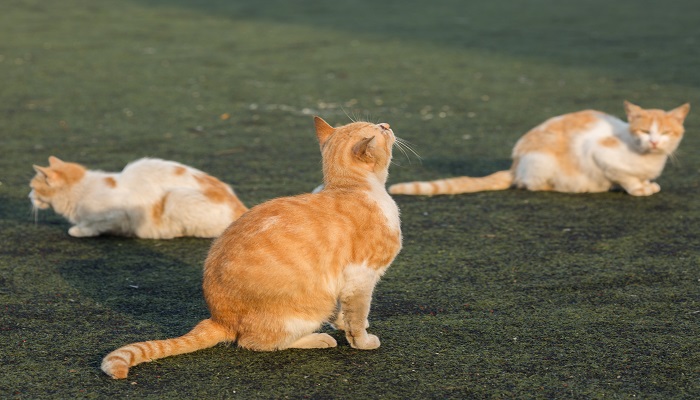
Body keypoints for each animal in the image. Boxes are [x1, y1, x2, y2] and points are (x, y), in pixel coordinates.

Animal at [30, 156, 249, 238]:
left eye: (32, 187)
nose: (28, 195)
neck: (81, 188)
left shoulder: (117, 214)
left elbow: (94, 225)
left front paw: (79, 230)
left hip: (175, 198)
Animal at [101, 117, 402, 380]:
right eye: (379, 130)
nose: (387, 124)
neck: (353, 188)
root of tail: (218, 318)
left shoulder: (346, 281)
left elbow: (344, 312)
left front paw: (341, 323)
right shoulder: (361, 277)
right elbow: (357, 317)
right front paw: (362, 340)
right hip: (310, 307)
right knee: (256, 342)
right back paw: (318, 338)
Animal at [392, 101, 692, 197]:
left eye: (666, 133)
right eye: (644, 131)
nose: (654, 141)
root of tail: (515, 163)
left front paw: (645, 184)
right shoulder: (600, 152)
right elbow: (625, 177)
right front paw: (639, 188)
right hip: (542, 161)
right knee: (532, 185)